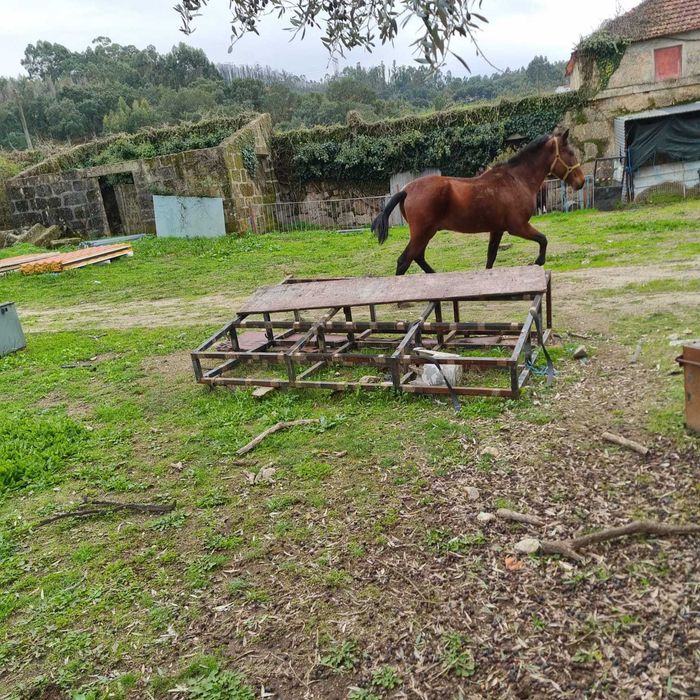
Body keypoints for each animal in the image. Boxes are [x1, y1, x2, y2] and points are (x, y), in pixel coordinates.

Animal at [371, 129, 585, 274]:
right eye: (571, 153)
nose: (581, 182)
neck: (516, 179)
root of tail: (406, 189)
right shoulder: (518, 226)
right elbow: (543, 239)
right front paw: (538, 261)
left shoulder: (497, 230)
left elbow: (491, 257)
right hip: (422, 233)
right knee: (404, 260)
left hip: (426, 233)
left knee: (418, 257)